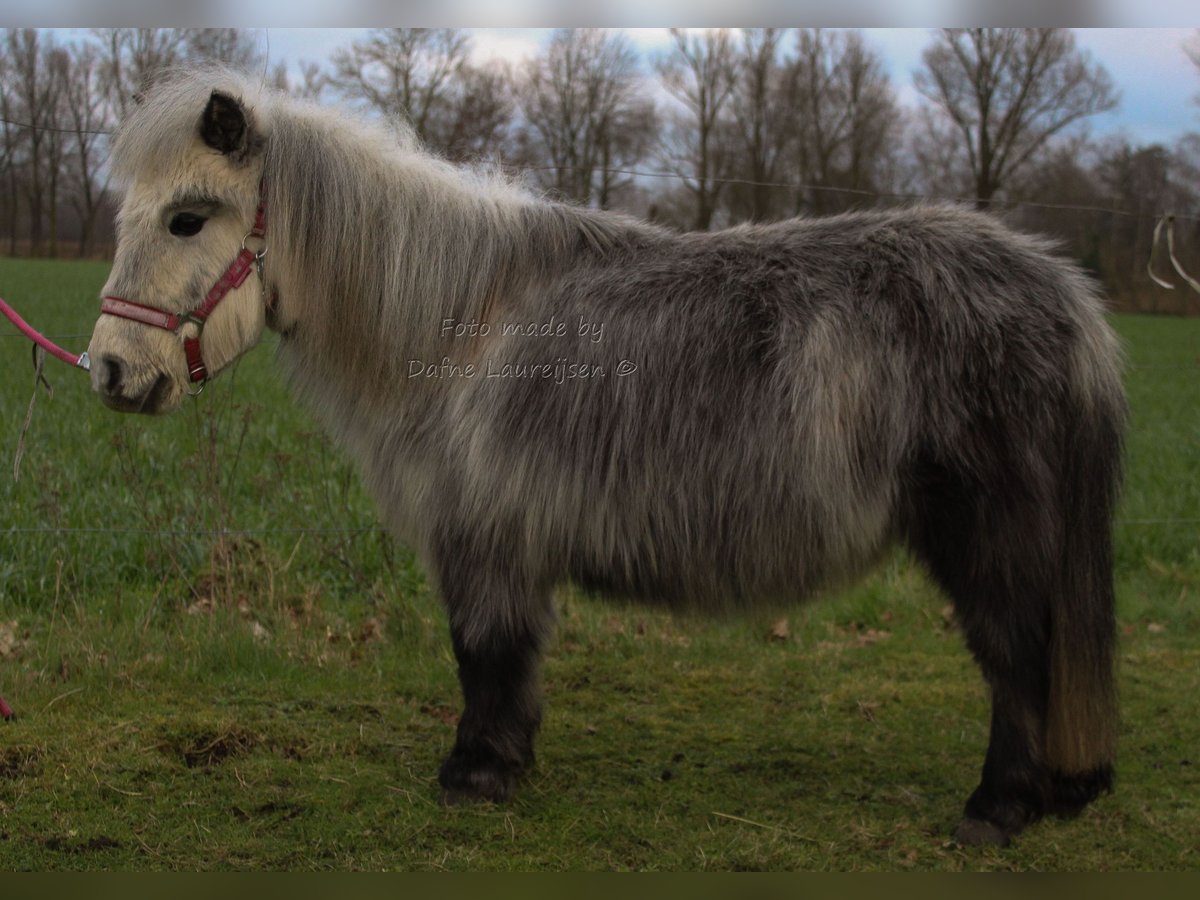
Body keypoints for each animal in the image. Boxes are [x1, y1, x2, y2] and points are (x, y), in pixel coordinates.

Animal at [87, 68, 1123, 844]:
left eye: (187, 219)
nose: (109, 369)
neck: (457, 320)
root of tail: (1065, 298)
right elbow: (508, 662)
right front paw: (505, 761)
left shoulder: (481, 541)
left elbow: (484, 653)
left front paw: (474, 772)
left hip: (988, 537)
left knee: (1020, 655)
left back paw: (998, 807)